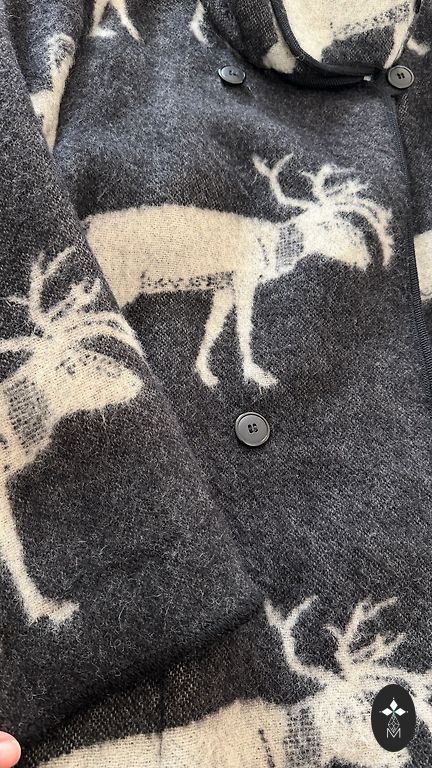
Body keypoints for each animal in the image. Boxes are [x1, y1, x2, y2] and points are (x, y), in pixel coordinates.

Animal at [84, 153, 393, 389]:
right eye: (332, 226)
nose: (365, 257)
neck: (271, 247)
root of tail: (87, 224)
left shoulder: (224, 286)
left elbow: (213, 326)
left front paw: (206, 374)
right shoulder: (245, 279)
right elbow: (244, 326)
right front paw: (258, 375)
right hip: (120, 281)